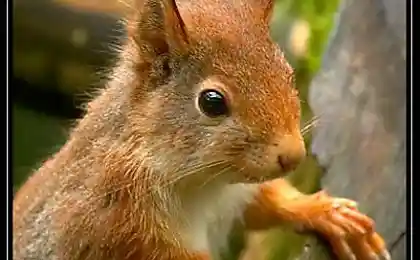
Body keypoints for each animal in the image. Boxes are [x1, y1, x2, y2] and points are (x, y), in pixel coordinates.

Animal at [13, 0, 390, 260]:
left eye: (288, 74)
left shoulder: (234, 194)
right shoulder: (116, 224)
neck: (200, 181)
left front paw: (326, 212)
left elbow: (264, 201)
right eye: (212, 102)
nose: (294, 155)